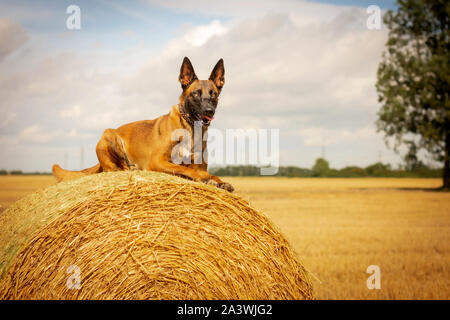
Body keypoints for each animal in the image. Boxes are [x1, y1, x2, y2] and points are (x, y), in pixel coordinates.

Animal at [51, 57, 236, 192]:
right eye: (196, 94)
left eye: (213, 94)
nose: (209, 111)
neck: (190, 129)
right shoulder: (157, 161)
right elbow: (187, 170)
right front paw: (204, 179)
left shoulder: (200, 166)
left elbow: (208, 174)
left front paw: (220, 181)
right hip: (109, 134)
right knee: (117, 167)